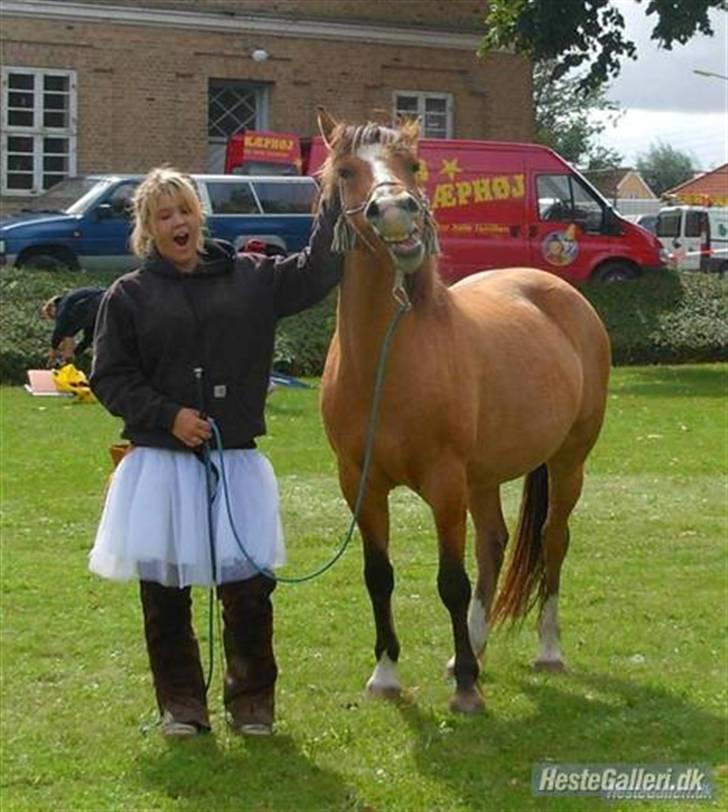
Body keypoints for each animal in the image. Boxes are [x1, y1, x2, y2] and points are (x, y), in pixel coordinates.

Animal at [316, 108, 612, 712]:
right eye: (348, 169)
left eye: (412, 164)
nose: (396, 212)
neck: (386, 361)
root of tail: (561, 292)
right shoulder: (360, 482)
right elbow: (378, 575)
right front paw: (386, 675)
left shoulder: (444, 481)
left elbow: (449, 580)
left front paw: (468, 692)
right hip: (483, 476)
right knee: (494, 544)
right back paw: (467, 650)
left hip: (567, 461)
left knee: (553, 540)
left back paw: (546, 650)